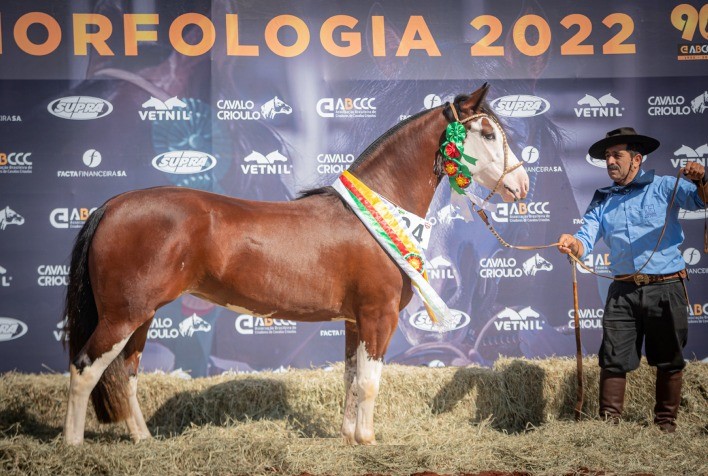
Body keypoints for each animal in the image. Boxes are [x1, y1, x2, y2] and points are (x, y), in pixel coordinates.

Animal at [63, 82, 528, 446]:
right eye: (488, 133)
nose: (521, 185)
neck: (375, 211)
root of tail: (112, 206)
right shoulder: (378, 316)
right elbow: (370, 382)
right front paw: (368, 441)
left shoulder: (355, 321)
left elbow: (351, 378)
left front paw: (348, 438)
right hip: (123, 315)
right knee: (85, 369)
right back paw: (73, 445)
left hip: (139, 316)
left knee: (126, 375)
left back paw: (143, 440)